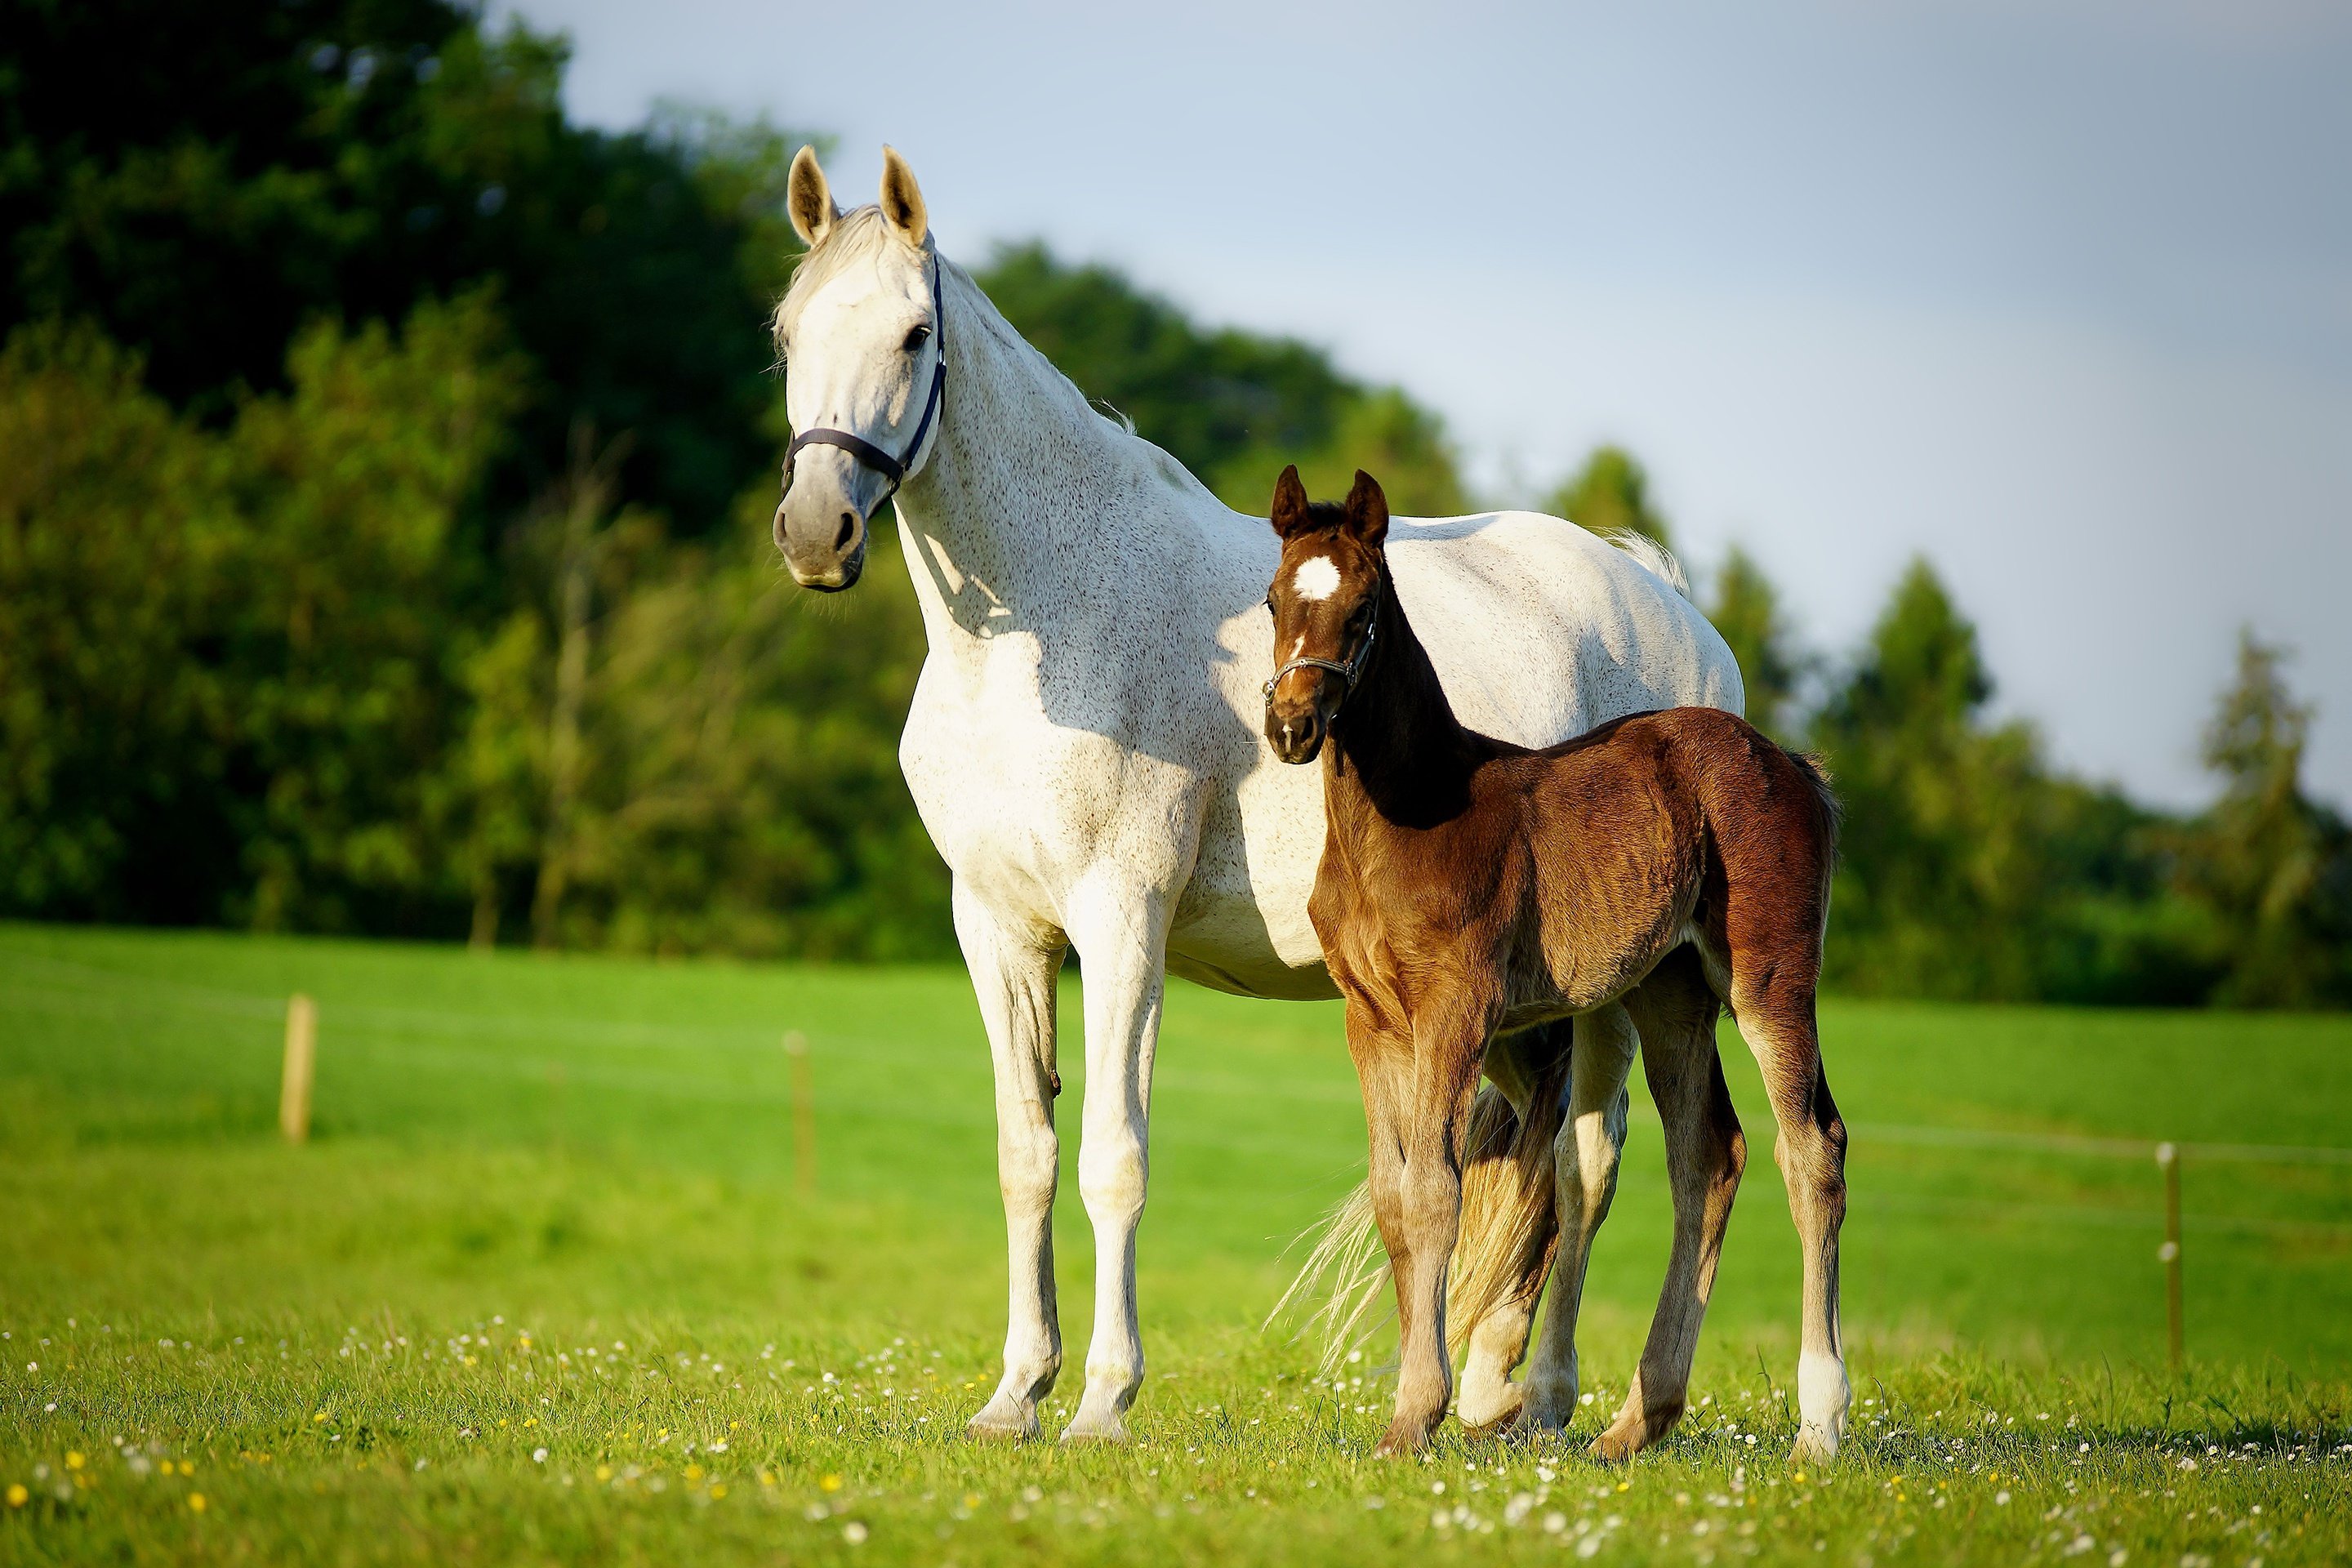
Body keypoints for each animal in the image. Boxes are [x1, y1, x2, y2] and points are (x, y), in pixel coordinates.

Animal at [1270, 472, 1853, 1467]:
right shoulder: (1370, 1018)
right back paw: (1637, 1421)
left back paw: (1821, 1422)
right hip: (1669, 993)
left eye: (1363, 609)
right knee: (1709, 1155)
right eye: (1273, 601)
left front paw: (1414, 1415)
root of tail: (1791, 764)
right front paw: (1410, 1413)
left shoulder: (1457, 1010)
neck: (1410, 813)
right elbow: (1394, 1197)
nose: (1292, 725)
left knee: (1811, 1149)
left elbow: (1437, 1193)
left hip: (1768, 977)